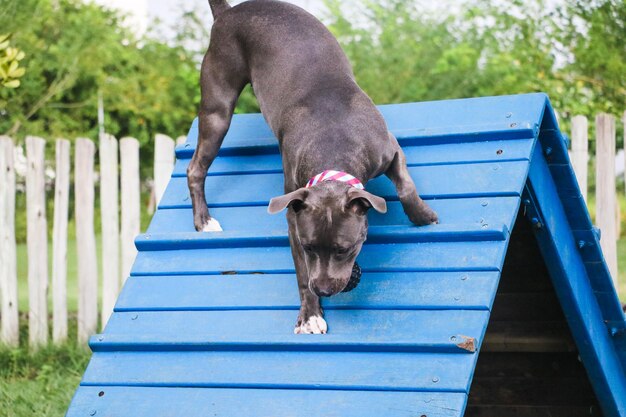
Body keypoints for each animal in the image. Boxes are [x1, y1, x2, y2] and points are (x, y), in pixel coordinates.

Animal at [188, 0, 436, 334]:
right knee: (195, 168)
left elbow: (407, 186)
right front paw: (310, 315)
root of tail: (228, 11)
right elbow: (300, 273)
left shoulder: (390, 149)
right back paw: (204, 221)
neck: (332, 148)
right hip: (218, 107)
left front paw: (423, 216)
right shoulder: (293, 216)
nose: (324, 289)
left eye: (344, 249)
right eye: (308, 248)